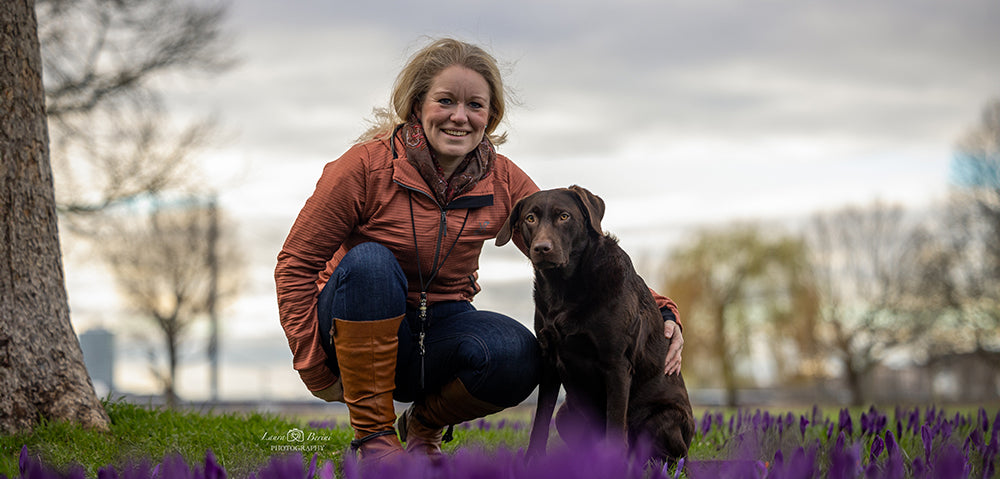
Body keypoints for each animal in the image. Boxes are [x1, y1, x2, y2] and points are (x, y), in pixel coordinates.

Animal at [494, 187, 696, 462]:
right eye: (530, 219)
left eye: (564, 216)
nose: (541, 248)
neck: (564, 288)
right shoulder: (549, 360)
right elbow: (540, 421)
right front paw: (531, 461)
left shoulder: (616, 363)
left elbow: (615, 428)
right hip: (567, 414)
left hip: (661, 419)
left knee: (668, 457)